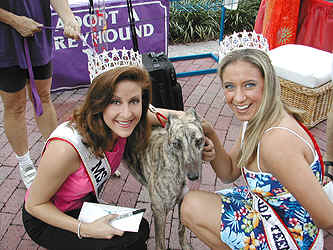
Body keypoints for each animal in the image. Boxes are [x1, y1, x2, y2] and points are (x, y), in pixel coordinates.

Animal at [124, 108, 204, 250]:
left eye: (199, 141)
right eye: (176, 144)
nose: (193, 177)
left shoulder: (183, 200)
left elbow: (181, 229)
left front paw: (185, 246)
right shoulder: (159, 211)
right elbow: (160, 243)